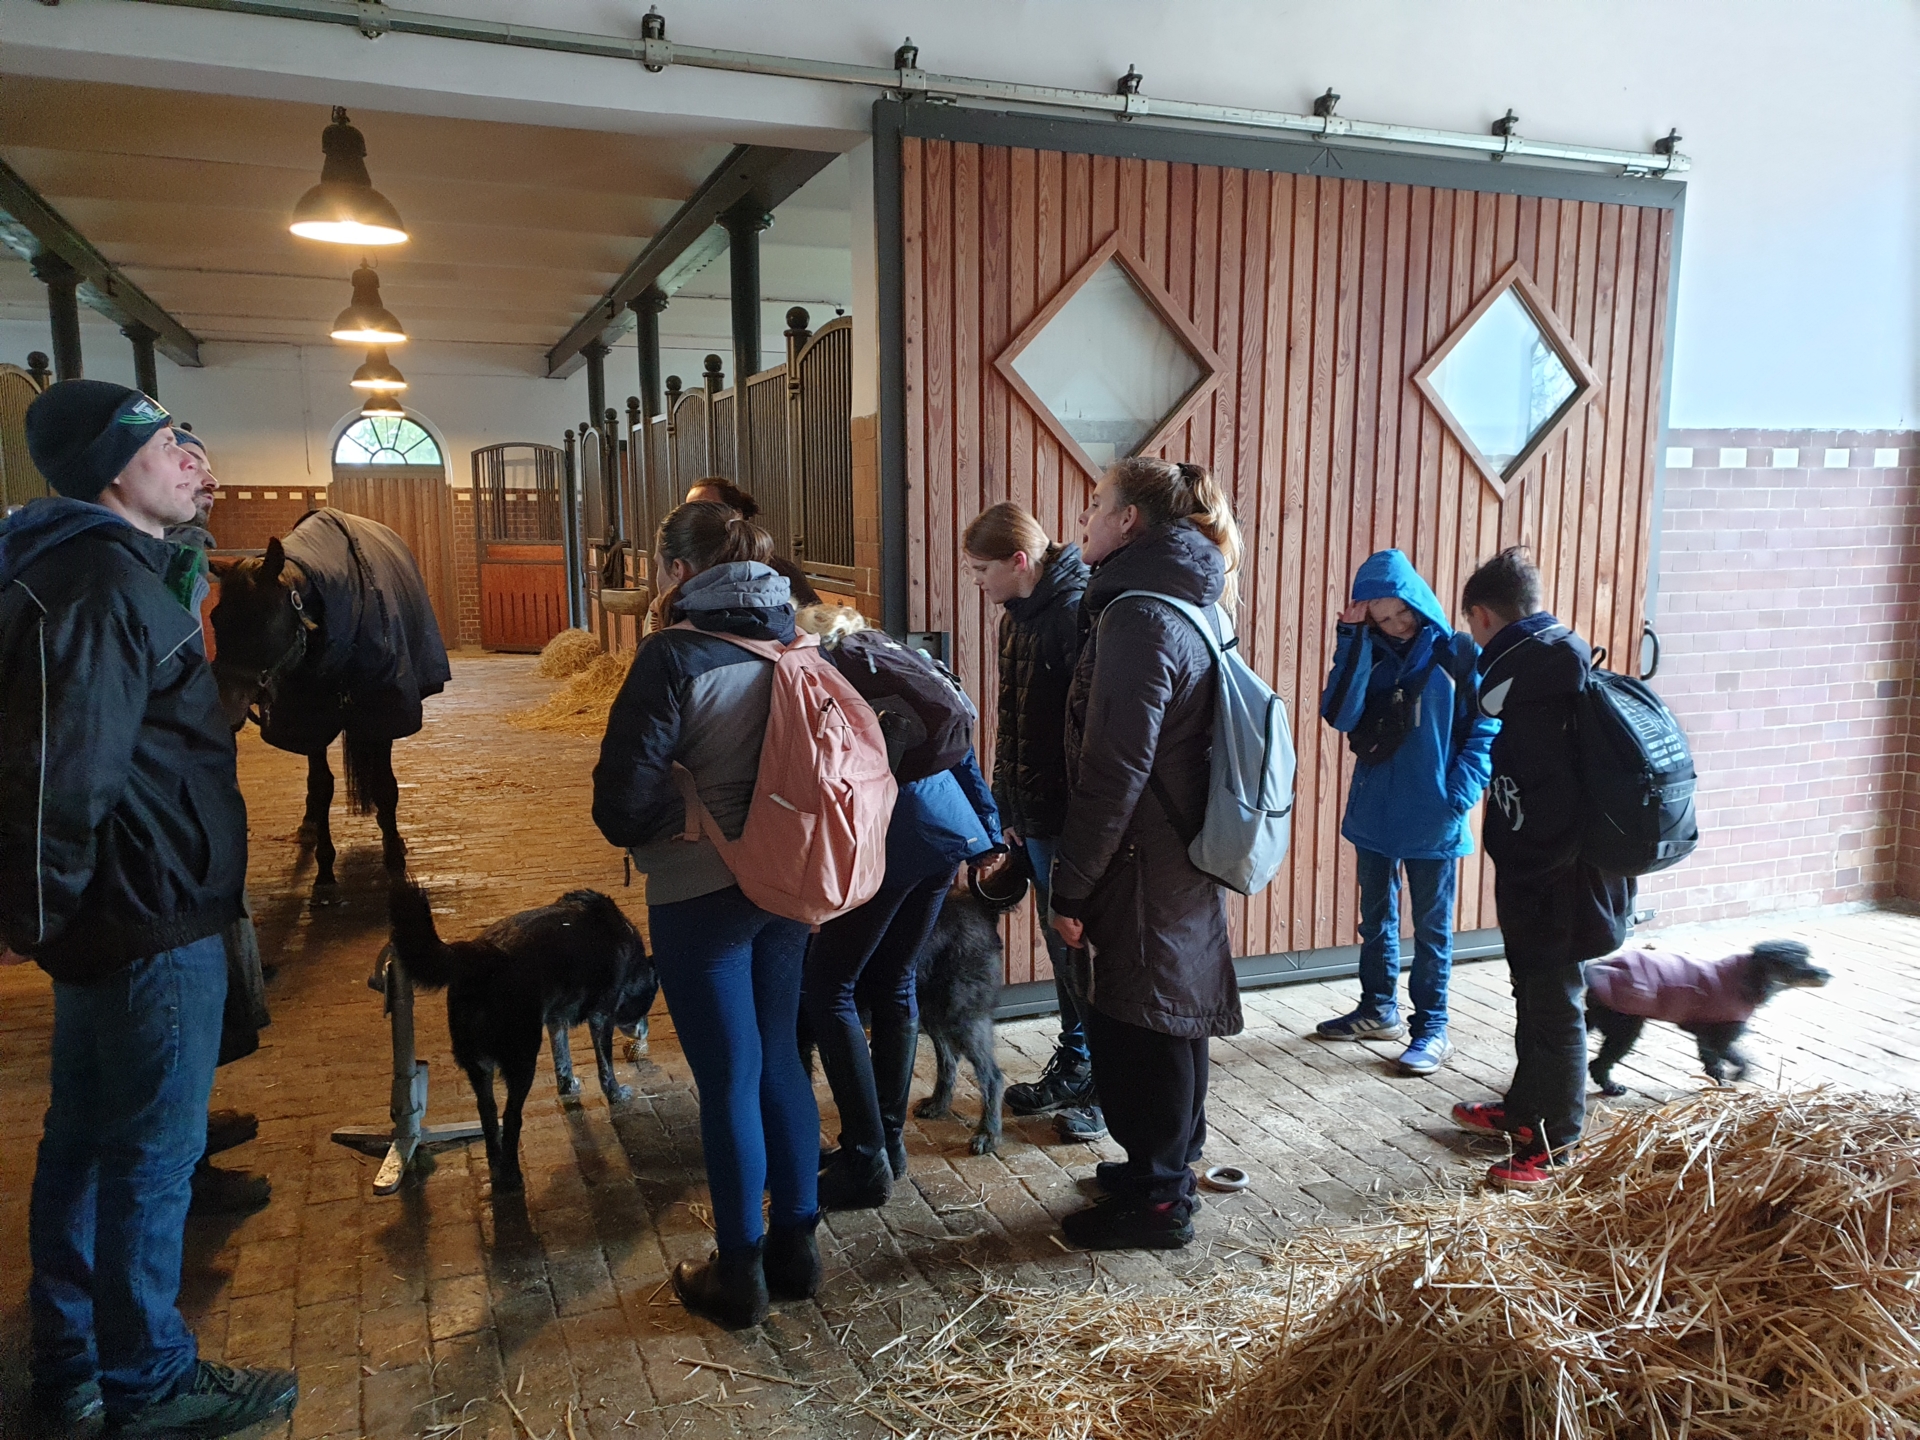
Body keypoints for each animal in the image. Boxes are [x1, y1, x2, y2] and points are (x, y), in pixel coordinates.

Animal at [210, 506, 449, 890]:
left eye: (265, 616)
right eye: (216, 618)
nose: (225, 705)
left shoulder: (382, 713)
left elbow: (384, 784)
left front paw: (394, 855)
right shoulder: (310, 721)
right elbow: (321, 787)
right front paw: (324, 868)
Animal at [389, 887, 660, 1190]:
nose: (645, 1032)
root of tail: (482, 955)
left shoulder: (555, 1020)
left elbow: (562, 1057)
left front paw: (568, 1085)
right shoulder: (601, 1017)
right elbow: (606, 1067)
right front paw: (615, 1093)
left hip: (479, 1067)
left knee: (488, 1113)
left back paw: (496, 1165)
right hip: (522, 1062)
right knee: (511, 1116)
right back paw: (512, 1174)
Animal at [1582, 940, 1835, 1098]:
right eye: (1800, 964)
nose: (1827, 974)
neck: (1749, 977)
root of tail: (1599, 971)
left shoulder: (1705, 1036)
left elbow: (1714, 1062)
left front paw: (1721, 1083)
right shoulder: (1720, 1036)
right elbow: (1738, 1060)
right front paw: (1735, 1077)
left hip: (1601, 1017)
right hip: (1625, 1027)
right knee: (1599, 1063)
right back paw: (1611, 1087)